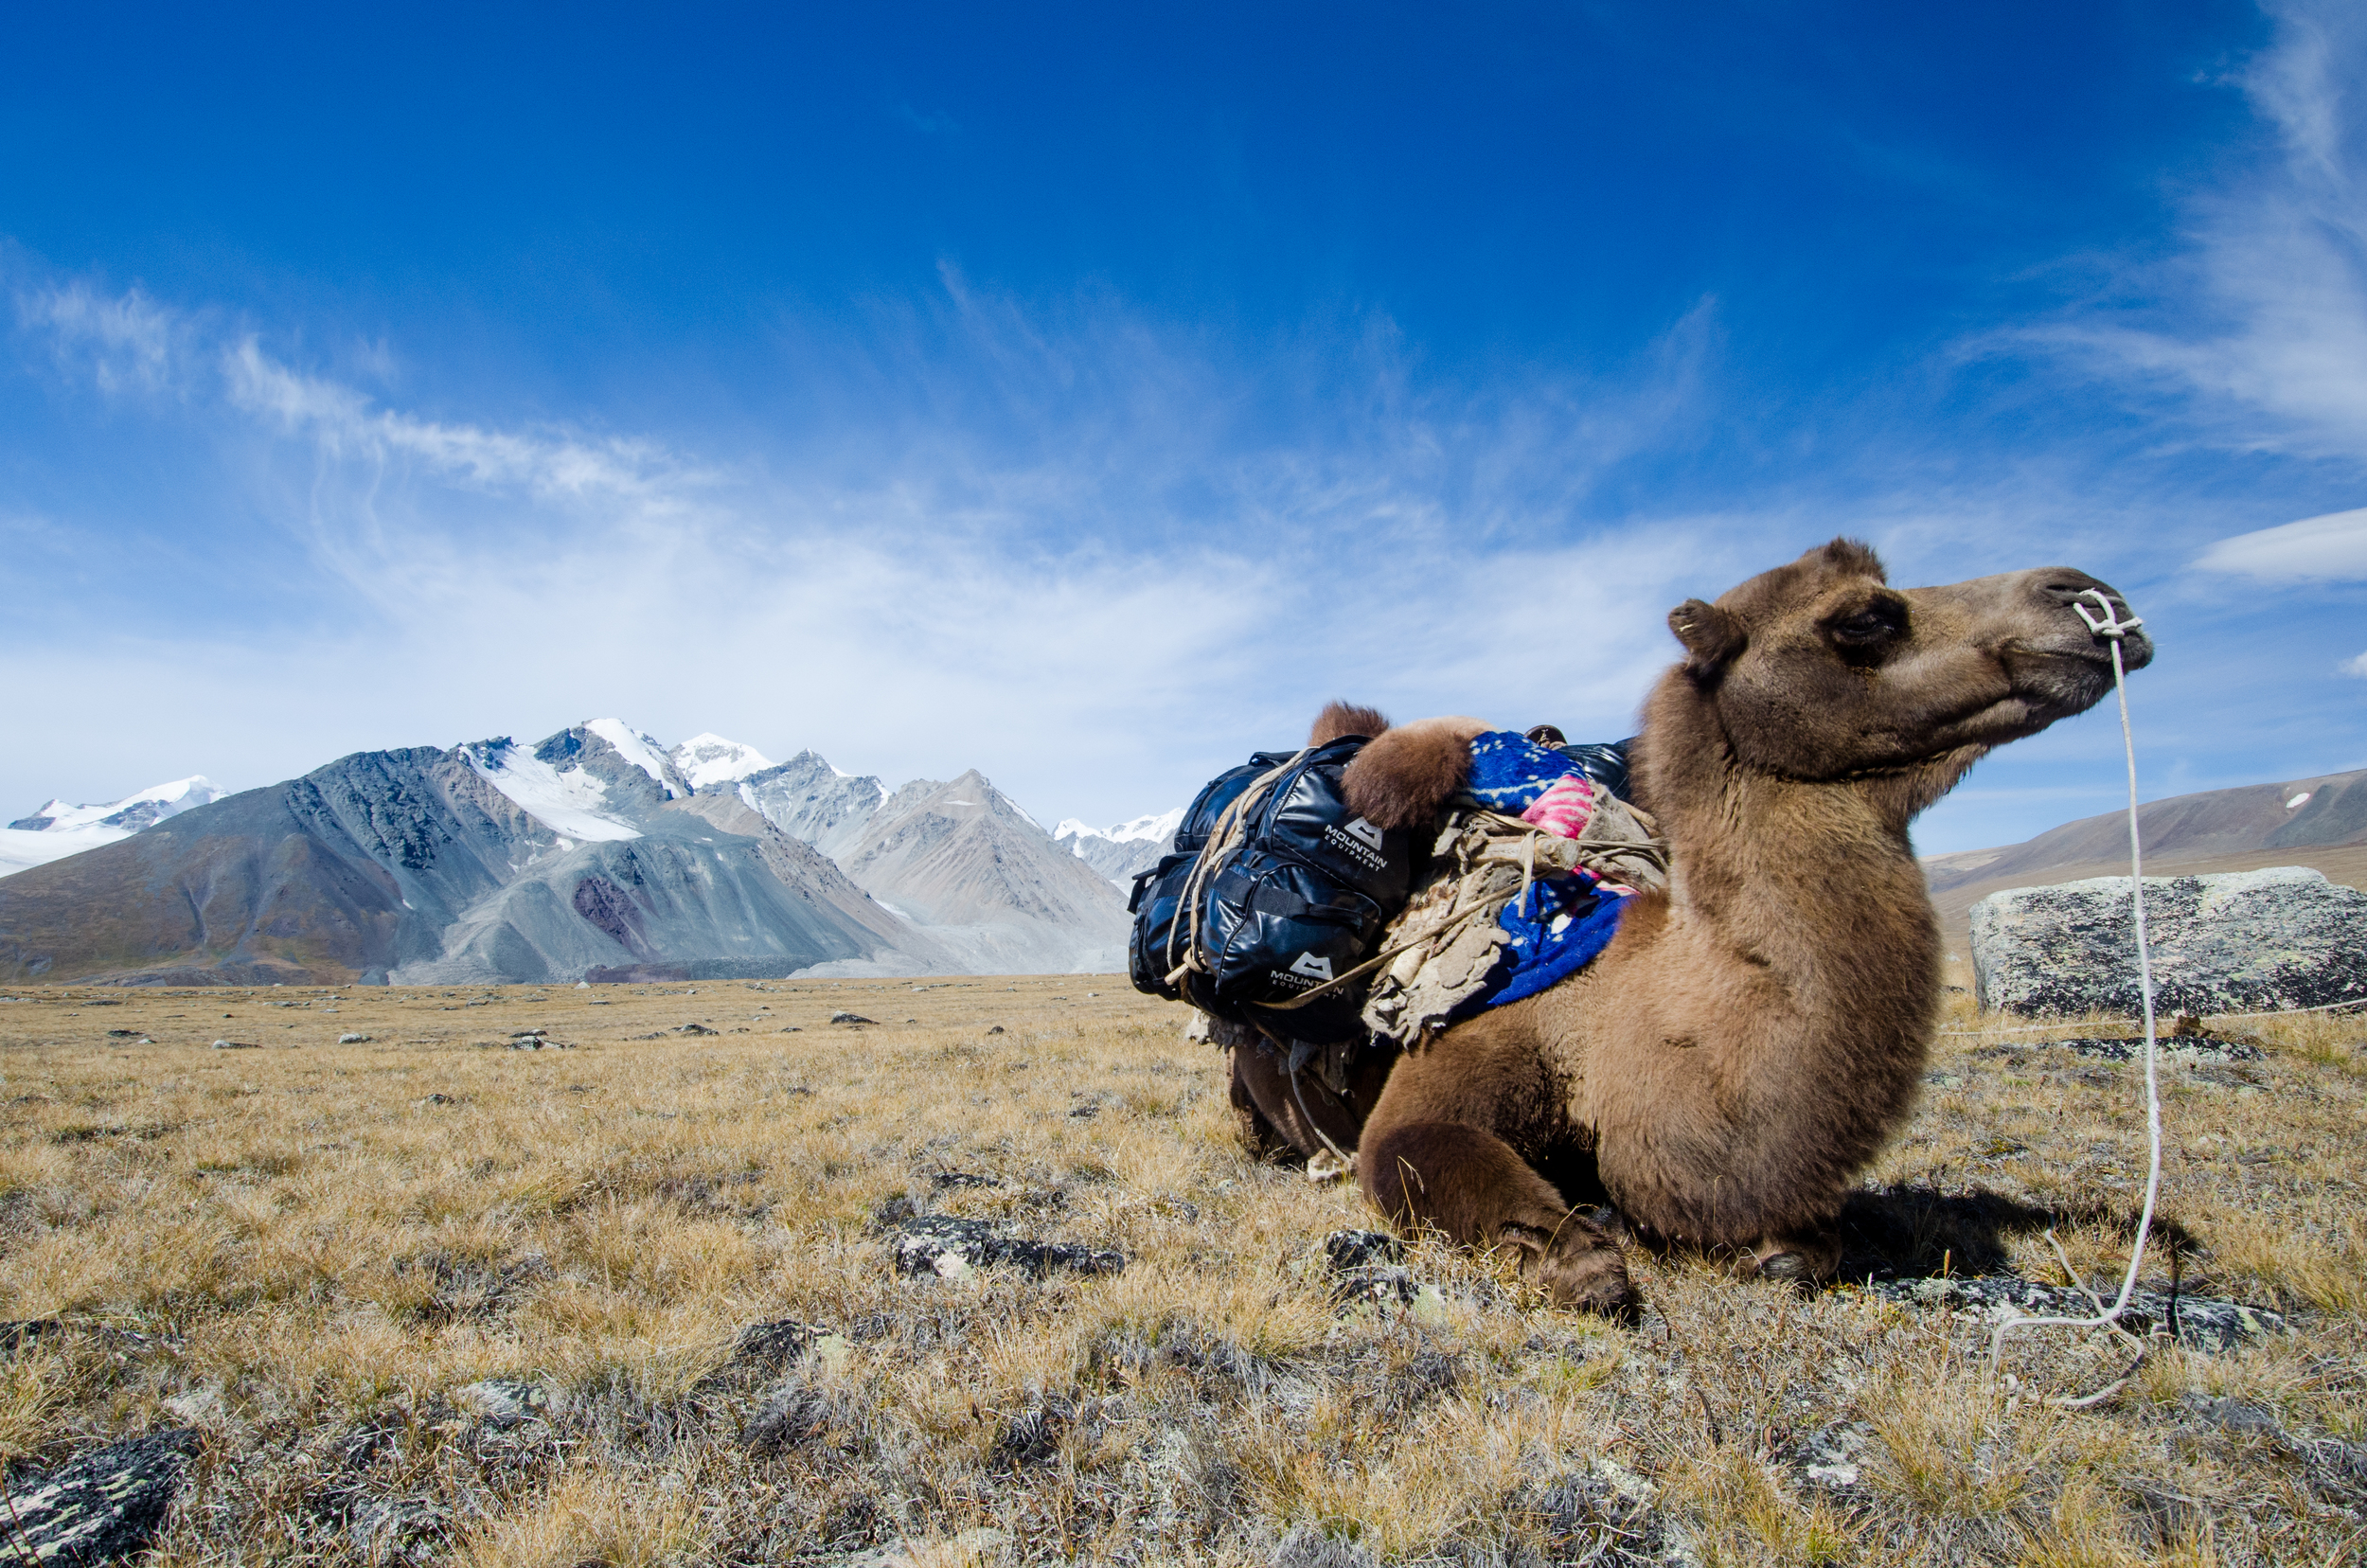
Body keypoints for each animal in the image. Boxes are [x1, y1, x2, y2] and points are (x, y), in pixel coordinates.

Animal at [1231, 540, 2159, 1316]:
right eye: (1863, 618)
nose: (2091, 595)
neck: (1633, 1018)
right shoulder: (1473, 1037)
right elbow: (1416, 1151)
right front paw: (1585, 1261)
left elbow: (1806, 1249)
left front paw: (1771, 1250)